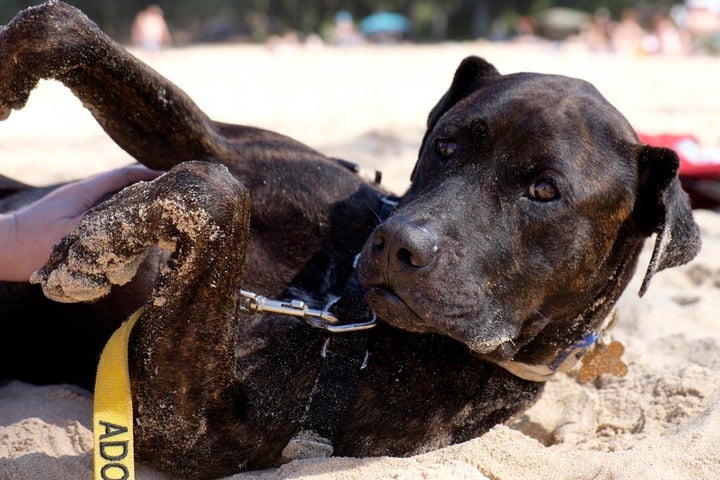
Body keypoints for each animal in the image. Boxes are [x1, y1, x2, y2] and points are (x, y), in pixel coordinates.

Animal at [0, 1, 700, 478]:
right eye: (446, 146)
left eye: (545, 190)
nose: (397, 245)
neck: (337, 298)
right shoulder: (217, 141)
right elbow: (59, 24)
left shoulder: (192, 426)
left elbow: (216, 194)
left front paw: (102, 242)